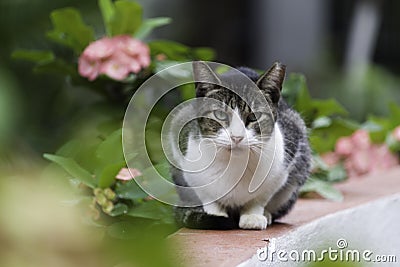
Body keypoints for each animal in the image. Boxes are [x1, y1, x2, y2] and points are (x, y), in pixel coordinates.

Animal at [170, 61, 310, 230]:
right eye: (220, 115)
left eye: (254, 117)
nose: (237, 137)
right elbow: (208, 196)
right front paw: (215, 214)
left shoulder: (282, 165)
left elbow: (260, 198)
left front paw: (252, 216)